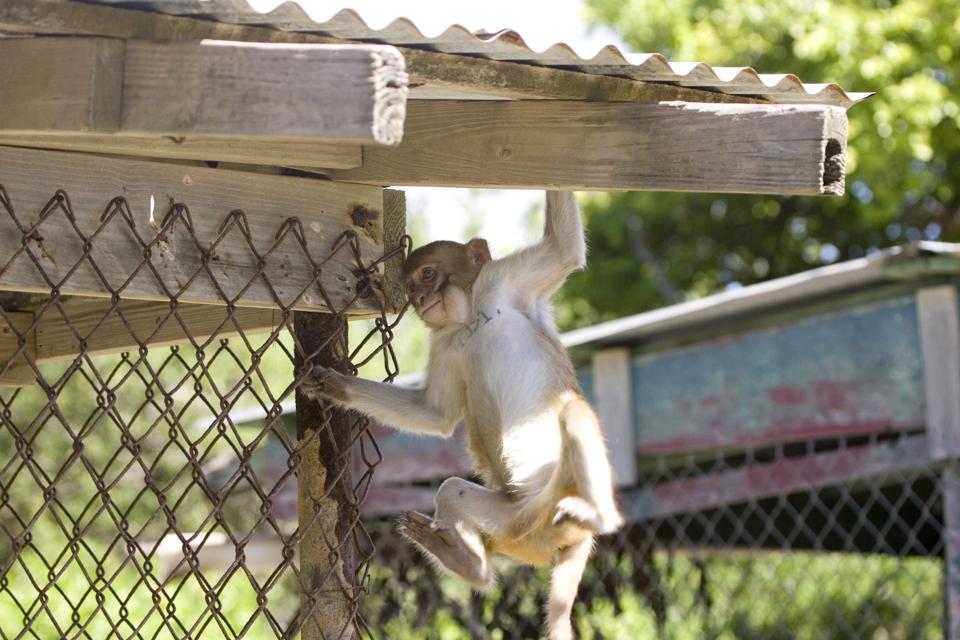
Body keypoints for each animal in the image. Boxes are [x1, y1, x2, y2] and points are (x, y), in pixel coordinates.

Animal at [303, 191, 623, 640]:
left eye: (428, 274)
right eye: (412, 285)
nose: (421, 301)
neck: (469, 316)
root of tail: (565, 538)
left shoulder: (503, 280)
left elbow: (565, 250)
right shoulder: (445, 341)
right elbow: (435, 413)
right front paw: (335, 386)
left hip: (558, 492)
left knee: (574, 411)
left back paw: (600, 513)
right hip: (517, 523)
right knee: (454, 492)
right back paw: (469, 565)